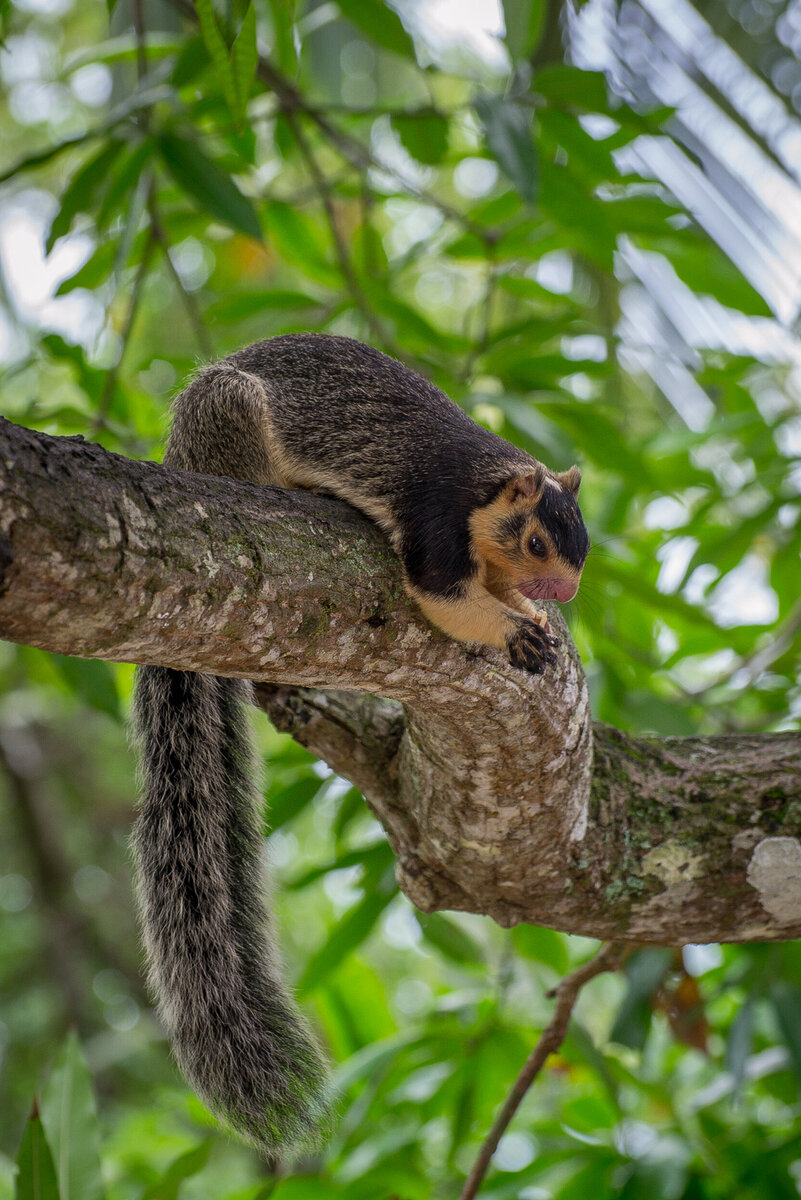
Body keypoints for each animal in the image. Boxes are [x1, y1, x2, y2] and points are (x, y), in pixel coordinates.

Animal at [133, 331, 587, 1152]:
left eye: (581, 547)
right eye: (537, 540)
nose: (563, 595)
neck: (482, 489)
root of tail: (178, 447)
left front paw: (528, 615)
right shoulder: (435, 524)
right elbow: (443, 594)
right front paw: (514, 628)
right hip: (227, 415)